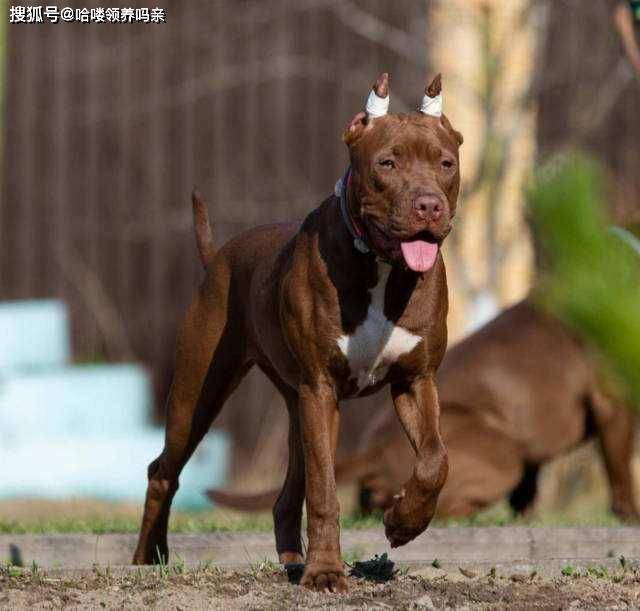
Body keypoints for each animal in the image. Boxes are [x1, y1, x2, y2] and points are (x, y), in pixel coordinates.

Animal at [134, 73, 464, 592]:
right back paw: (149, 557)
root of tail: (220, 256)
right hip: (199, 393)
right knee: (164, 470)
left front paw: (403, 522)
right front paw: (326, 571)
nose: (428, 205)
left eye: (445, 163)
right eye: (387, 162)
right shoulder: (321, 388)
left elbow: (435, 461)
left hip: (296, 404)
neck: (380, 266)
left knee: (289, 489)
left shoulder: (416, 381)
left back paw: (291, 559)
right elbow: (325, 491)